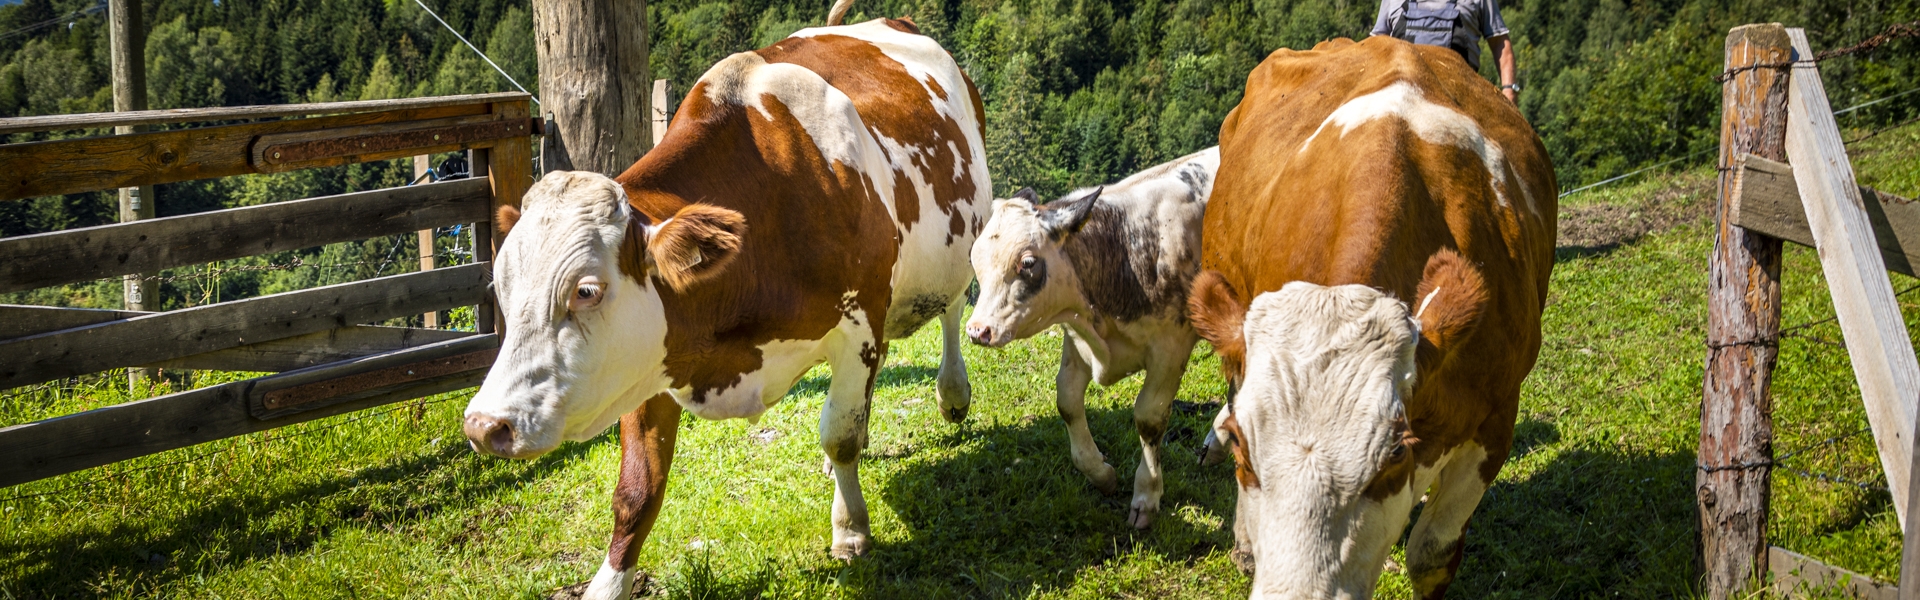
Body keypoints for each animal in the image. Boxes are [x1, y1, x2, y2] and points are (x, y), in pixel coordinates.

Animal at [455, 10, 983, 600]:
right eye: (500, 288)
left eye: (586, 290)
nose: (484, 426)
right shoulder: (649, 362)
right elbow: (637, 491)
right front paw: (608, 583)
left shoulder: (857, 323)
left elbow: (839, 436)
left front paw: (850, 531)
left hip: (959, 243)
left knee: (952, 313)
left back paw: (952, 394)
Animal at [967, 148, 1221, 526]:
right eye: (976, 259)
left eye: (1027, 263)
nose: (977, 329)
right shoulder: (1078, 340)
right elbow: (1068, 401)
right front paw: (1102, 474)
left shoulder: (1171, 347)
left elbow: (1149, 417)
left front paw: (1145, 497)